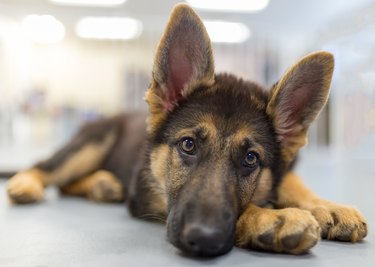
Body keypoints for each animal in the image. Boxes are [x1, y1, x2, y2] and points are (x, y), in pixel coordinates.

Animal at [7, 2, 368, 258]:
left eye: (251, 159)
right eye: (188, 145)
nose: (203, 238)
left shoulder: (283, 169)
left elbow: (293, 183)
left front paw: (327, 207)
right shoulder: (150, 196)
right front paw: (270, 218)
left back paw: (102, 184)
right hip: (92, 143)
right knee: (48, 170)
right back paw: (27, 183)